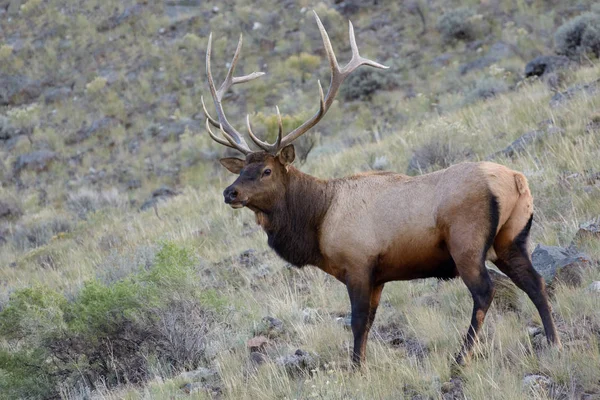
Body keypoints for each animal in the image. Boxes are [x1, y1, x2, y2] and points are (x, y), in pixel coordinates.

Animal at [203, 11, 564, 366]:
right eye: (242, 169)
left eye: (266, 171)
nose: (229, 193)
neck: (318, 221)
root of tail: (516, 180)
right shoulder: (378, 277)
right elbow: (369, 323)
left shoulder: (359, 264)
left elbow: (358, 321)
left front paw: (356, 368)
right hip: (511, 238)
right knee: (535, 282)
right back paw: (553, 342)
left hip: (467, 242)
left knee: (485, 291)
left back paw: (461, 358)